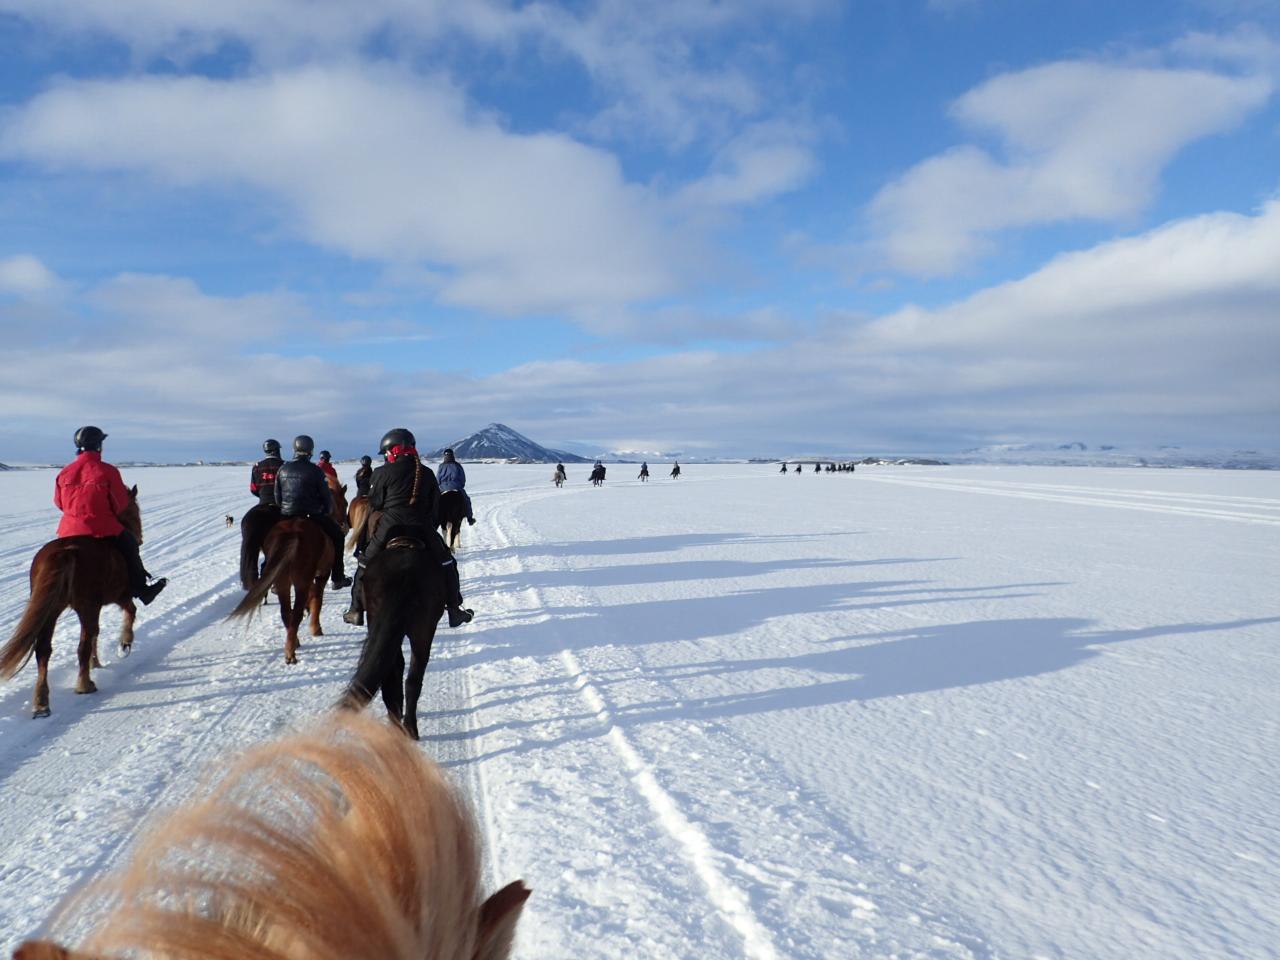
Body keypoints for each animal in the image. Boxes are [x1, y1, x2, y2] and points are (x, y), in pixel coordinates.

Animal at [0, 488, 145, 721]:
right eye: (135, 511)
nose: (139, 539)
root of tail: (66, 551)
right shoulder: (118, 596)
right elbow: (130, 612)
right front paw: (125, 643)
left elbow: (97, 632)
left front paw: (97, 662)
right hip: (85, 606)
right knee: (81, 645)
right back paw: (84, 685)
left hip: (52, 610)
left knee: (44, 650)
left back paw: (42, 703)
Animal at [229, 514, 332, 665]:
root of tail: (292, 533)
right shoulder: (322, 576)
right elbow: (317, 600)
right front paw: (316, 629)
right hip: (301, 581)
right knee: (296, 614)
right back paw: (291, 653)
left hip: (282, 580)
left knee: (286, 613)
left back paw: (293, 644)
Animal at [340, 537, 450, 742]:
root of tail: (404, 575)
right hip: (422, 630)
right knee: (408, 677)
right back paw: (407, 727)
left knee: (400, 675)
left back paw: (402, 726)